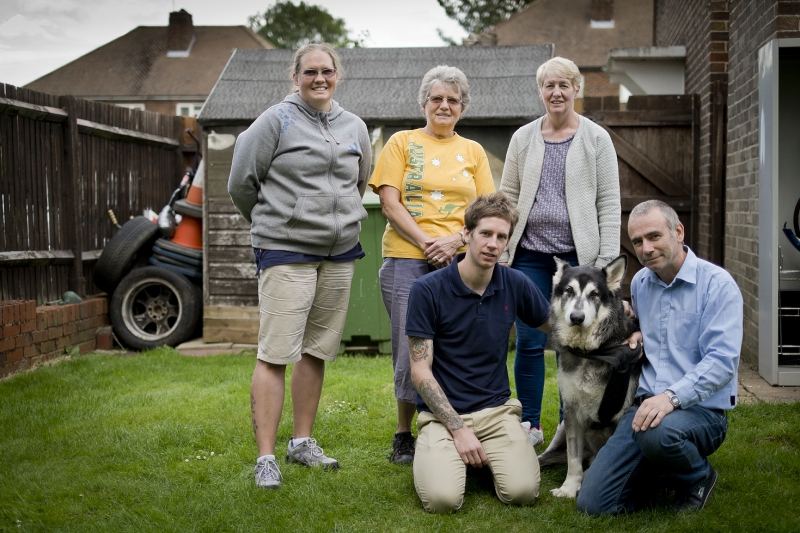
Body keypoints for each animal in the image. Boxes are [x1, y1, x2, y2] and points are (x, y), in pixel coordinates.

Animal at [536, 254, 644, 498]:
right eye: (568, 290)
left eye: (594, 294)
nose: (577, 317)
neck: (592, 352)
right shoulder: (572, 413)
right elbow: (573, 459)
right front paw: (569, 487)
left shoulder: (621, 415)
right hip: (561, 432)